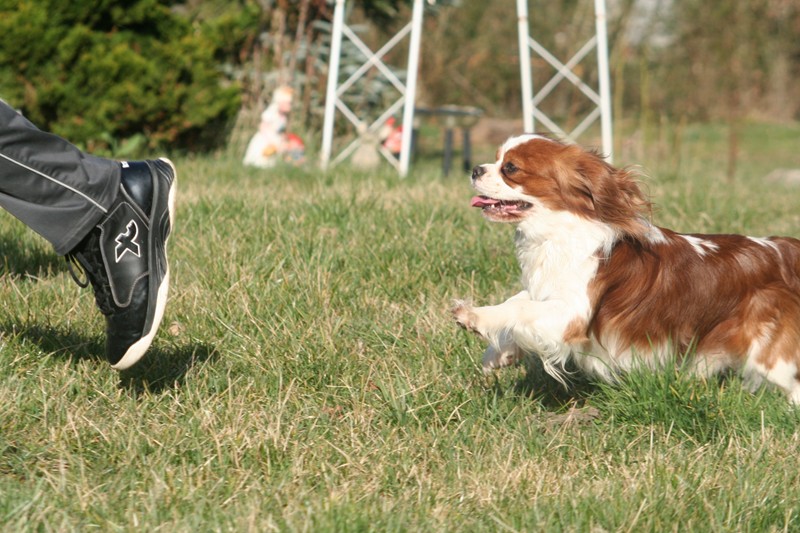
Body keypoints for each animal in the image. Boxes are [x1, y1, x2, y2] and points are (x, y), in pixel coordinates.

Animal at [454, 134, 800, 404]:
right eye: (496, 160)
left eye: (510, 168)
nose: (475, 169)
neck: (560, 231)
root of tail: (786, 249)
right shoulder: (550, 289)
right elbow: (519, 300)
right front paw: (499, 353)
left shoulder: (572, 315)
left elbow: (522, 309)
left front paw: (474, 317)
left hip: (771, 356)